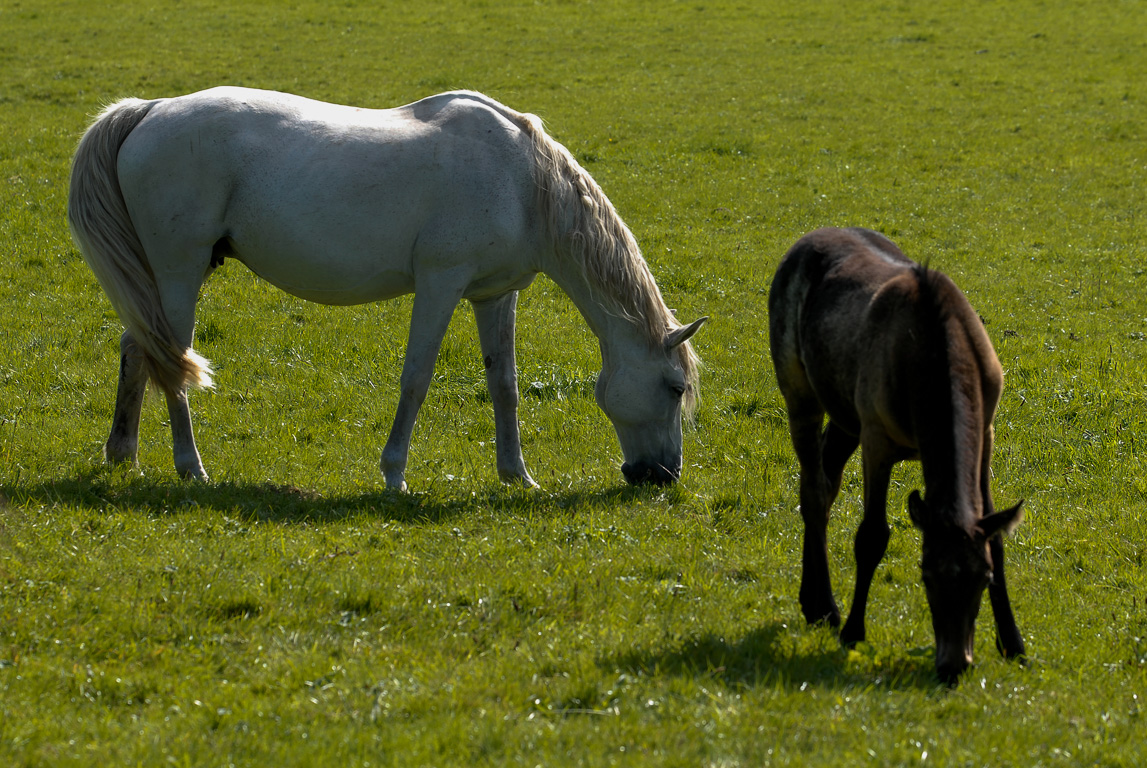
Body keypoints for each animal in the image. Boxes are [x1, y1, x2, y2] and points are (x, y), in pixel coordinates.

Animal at [67, 85, 706, 492]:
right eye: (674, 387)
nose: (662, 477)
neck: (523, 182)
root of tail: (149, 110)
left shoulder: (494, 295)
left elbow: (504, 385)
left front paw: (518, 476)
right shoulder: (441, 284)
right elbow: (417, 376)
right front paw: (395, 473)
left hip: (167, 278)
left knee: (138, 349)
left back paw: (123, 454)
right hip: (179, 271)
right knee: (171, 361)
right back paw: (191, 468)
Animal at [766, 225, 1027, 683]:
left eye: (982, 578)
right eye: (926, 575)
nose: (954, 665)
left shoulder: (987, 433)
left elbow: (996, 537)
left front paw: (1013, 642)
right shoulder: (877, 437)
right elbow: (872, 535)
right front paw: (854, 631)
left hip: (844, 416)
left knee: (824, 483)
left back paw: (811, 599)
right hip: (800, 393)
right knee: (813, 490)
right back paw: (825, 606)